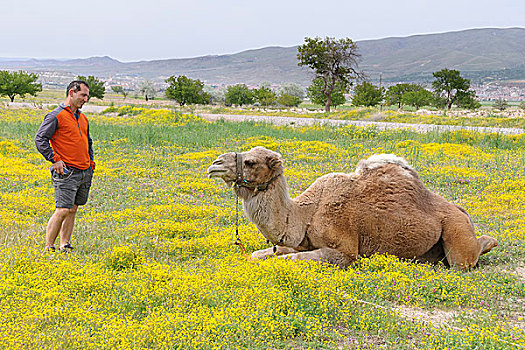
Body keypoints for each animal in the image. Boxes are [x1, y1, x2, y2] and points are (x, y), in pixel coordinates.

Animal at [206, 146, 496, 270]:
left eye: (251, 162)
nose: (215, 164)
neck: (306, 214)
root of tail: (461, 211)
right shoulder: (301, 242)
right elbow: (260, 254)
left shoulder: (345, 252)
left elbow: (287, 260)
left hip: (455, 233)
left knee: (464, 259)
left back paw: (490, 242)